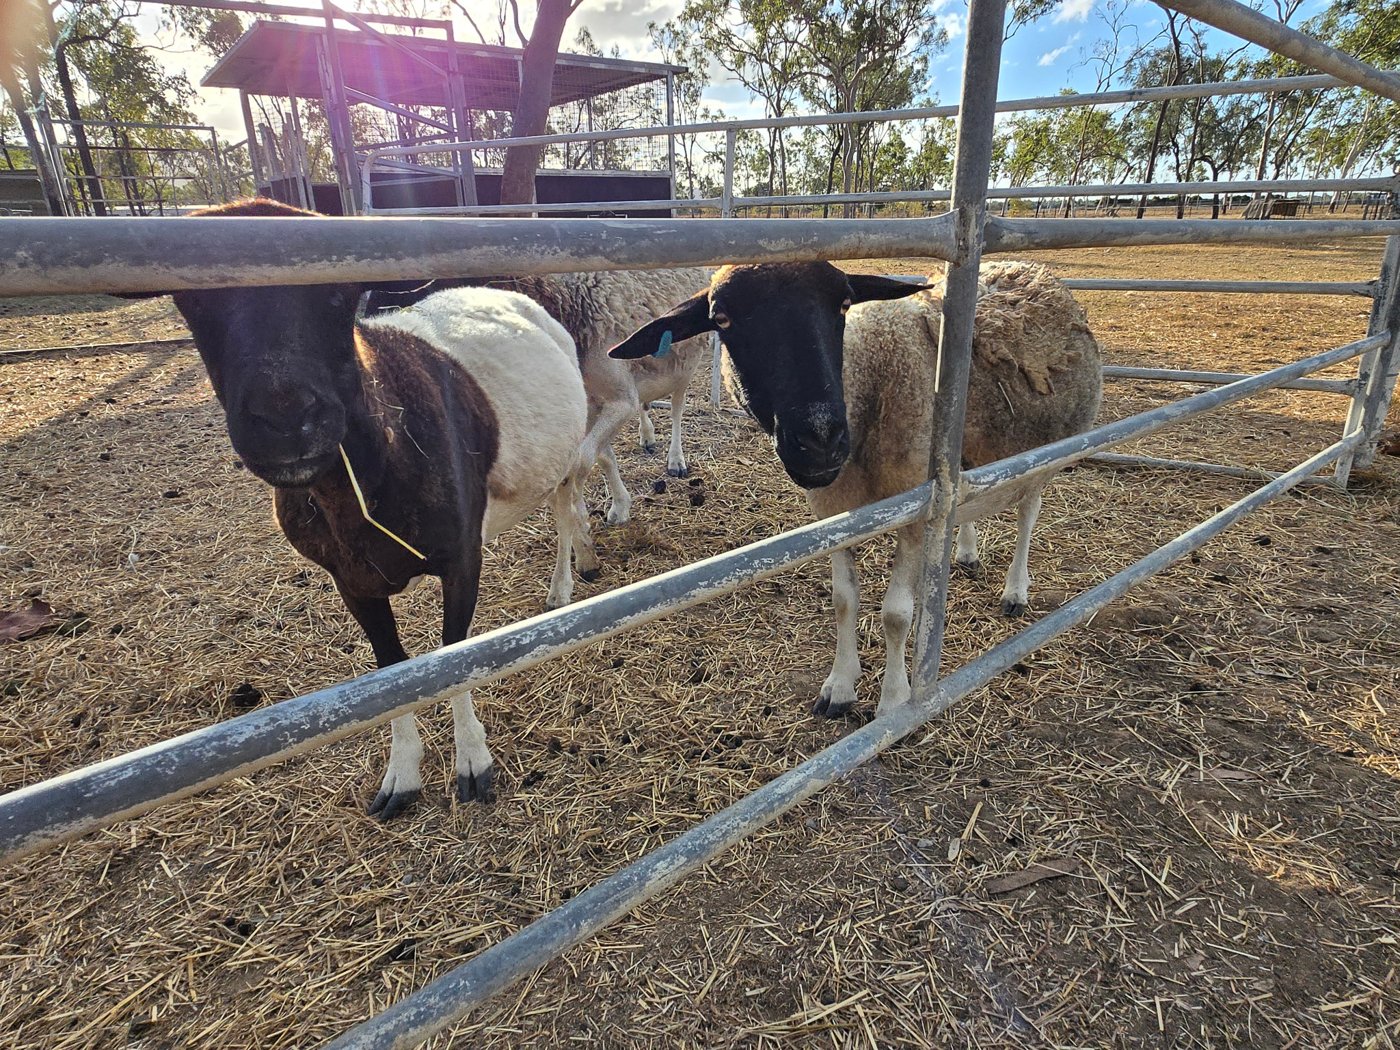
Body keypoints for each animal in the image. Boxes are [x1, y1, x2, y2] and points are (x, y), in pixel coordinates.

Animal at [136, 198, 598, 819]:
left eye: (337, 294)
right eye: (196, 302)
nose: (285, 418)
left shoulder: (461, 558)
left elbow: (452, 655)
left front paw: (473, 765)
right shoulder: (350, 580)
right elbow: (392, 670)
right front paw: (402, 776)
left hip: (564, 455)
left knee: (565, 513)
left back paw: (564, 587)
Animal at [366, 269, 713, 524]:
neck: (569, 304)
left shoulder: (619, 400)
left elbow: (585, 457)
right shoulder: (590, 400)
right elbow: (603, 455)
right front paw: (619, 506)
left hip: (685, 362)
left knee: (678, 406)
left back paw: (676, 459)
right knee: (646, 403)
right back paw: (647, 435)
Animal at [609, 260, 1102, 719]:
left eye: (844, 304)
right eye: (722, 318)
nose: (820, 440)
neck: (871, 373)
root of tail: (1031, 268)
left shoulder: (916, 507)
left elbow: (896, 613)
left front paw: (894, 700)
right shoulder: (832, 508)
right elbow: (844, 600)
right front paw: (840, 687)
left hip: (1047, 452)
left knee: (1028, 513)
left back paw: (1015, 591)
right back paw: (963, 551)